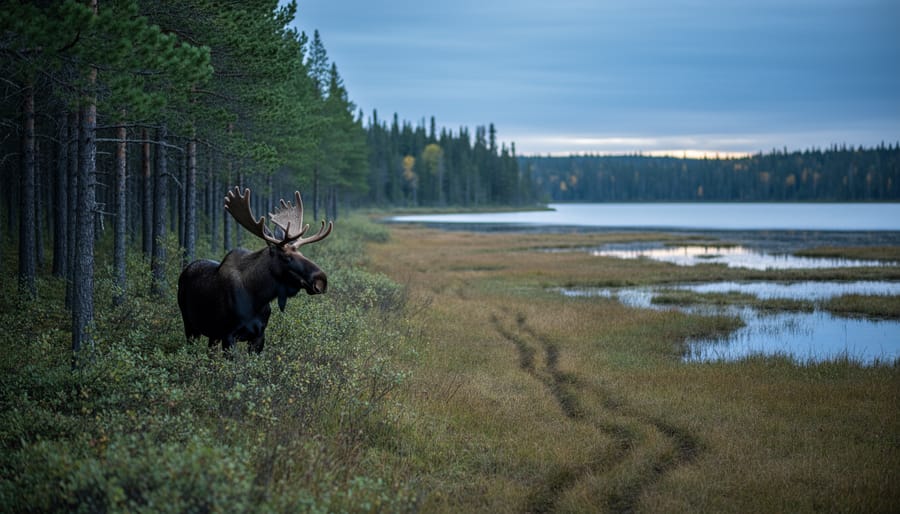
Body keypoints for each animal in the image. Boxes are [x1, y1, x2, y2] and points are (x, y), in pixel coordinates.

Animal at [177, 187, 332, 354]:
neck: (258, 297)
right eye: (286, 257)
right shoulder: (228, 335)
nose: (321, 280)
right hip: (190, 325)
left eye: (302, 254)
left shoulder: (259, 335)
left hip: (213, 334)